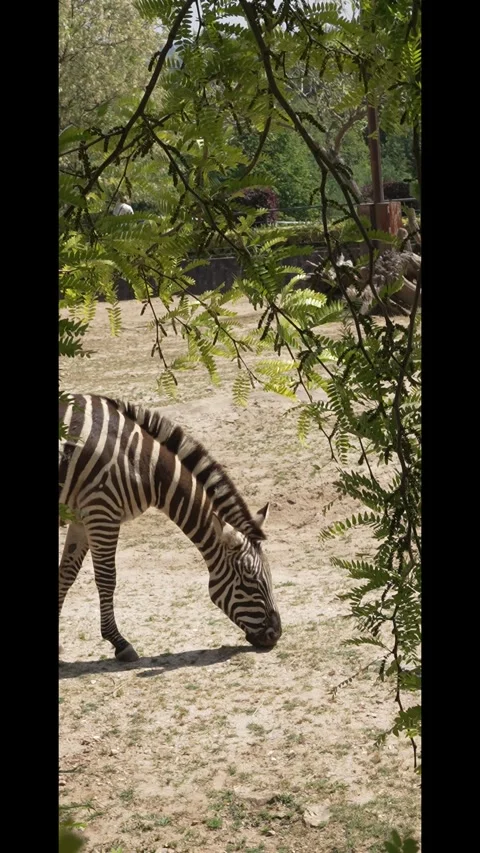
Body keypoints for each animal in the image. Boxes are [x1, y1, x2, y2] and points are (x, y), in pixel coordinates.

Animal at [59, 394, 282, 662]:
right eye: (249, 579)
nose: (276, 634)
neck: (143, 464)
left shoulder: (81, 517)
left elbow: (66, 574)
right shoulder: (102, 510)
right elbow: (106, 578)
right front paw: (119, 643)